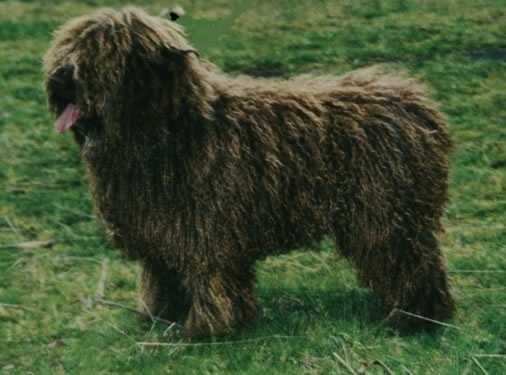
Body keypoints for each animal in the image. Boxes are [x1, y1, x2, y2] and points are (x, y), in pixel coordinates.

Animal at [43, 6, 454, 338]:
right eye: (70, 46)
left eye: (104, 53)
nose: (61, 79)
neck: (172, 130)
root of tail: (419, 105)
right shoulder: (161, 232)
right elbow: (164, 277)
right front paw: (161, 317)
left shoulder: (206, 233)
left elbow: (210, 280)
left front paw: (206, 329)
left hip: (386, 217)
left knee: (410, 265)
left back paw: (414, 319)